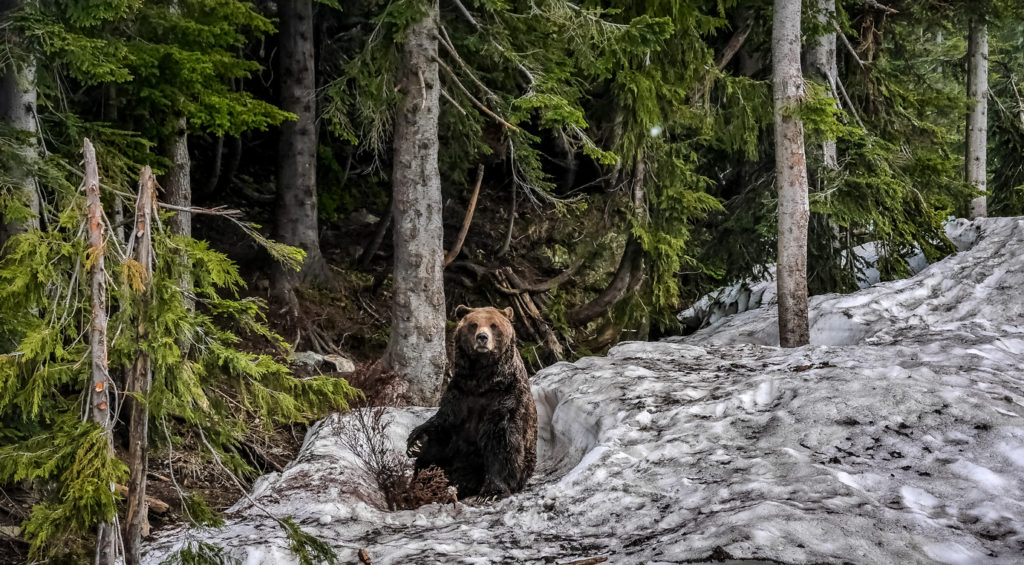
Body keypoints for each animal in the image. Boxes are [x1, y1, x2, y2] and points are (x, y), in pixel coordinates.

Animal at [405, 305, 540, 499]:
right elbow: (441, 425)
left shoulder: (507, 396)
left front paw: (493, 491)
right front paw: (416, 444)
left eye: (494, 325)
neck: (481, 381)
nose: (482, 337)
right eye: (473, 324)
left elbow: (502, 442)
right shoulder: (459, 396)